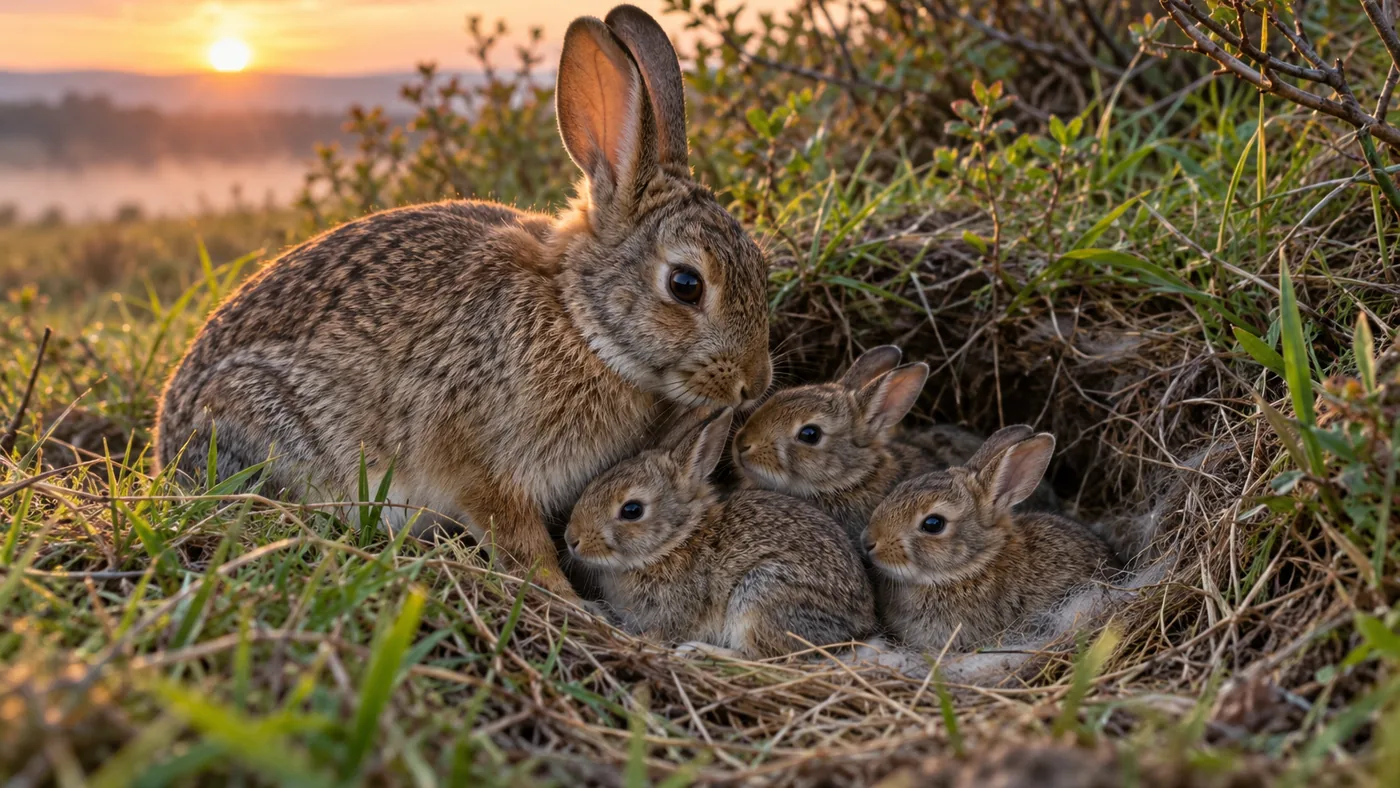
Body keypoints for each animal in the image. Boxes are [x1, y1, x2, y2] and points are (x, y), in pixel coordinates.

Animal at [153, 5, 772, 600]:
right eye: (686, 284)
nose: (754, 383)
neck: (577, 321)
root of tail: (167, 449)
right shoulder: (483, 466)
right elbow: (517, 538)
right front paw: (564, 597)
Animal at [564, 409, 877, 658]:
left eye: (632, 510)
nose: (572, 540)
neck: (675, 543)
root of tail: (862, 624)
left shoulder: (675, 613)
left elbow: (659, 635)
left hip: (761, 594)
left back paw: (698, 651)